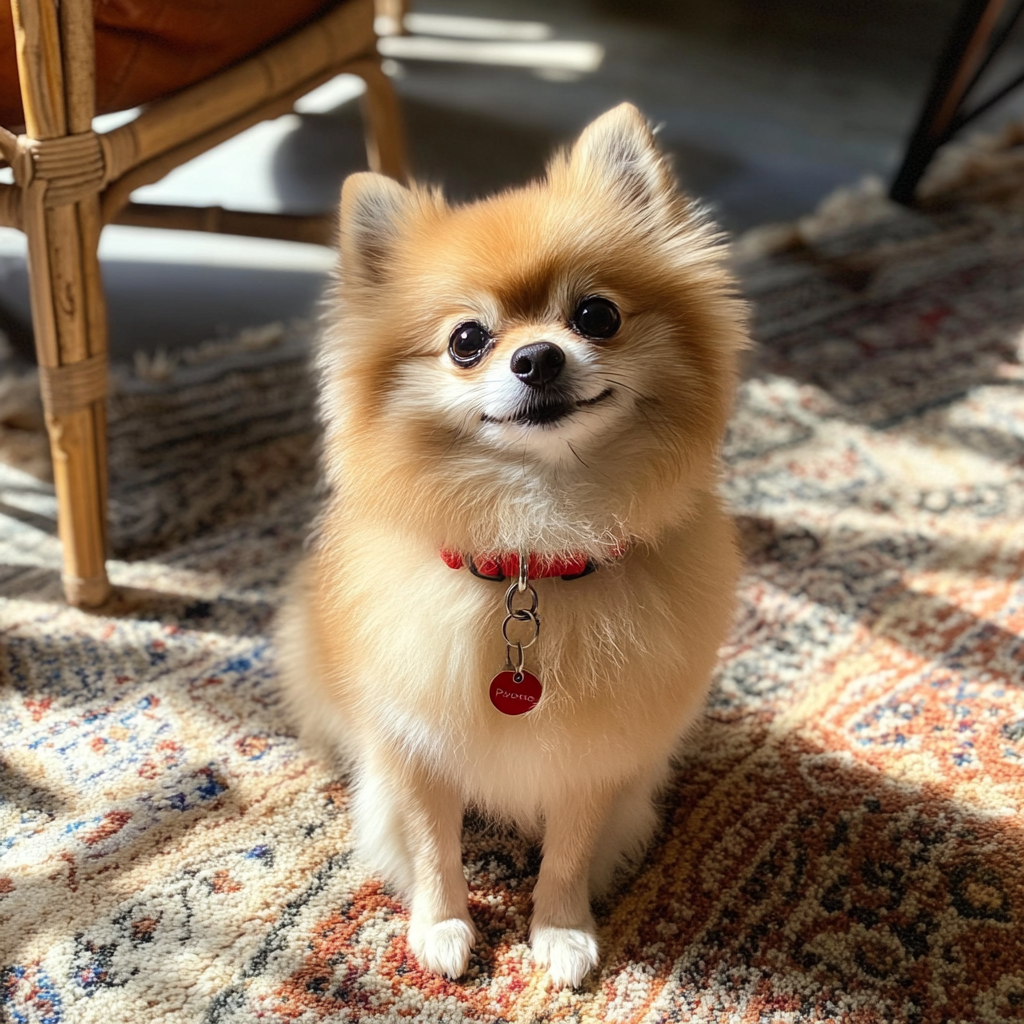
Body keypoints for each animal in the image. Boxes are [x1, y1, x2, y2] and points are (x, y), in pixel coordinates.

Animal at [276, 101, 749, 983]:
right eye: (467, 340)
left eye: (595, 315)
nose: (536, 356)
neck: (534, 542)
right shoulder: (416, 743)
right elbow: (434, 846)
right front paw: (441, 926)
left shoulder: (591, 753)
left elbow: (568, 851)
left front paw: (560, 931)